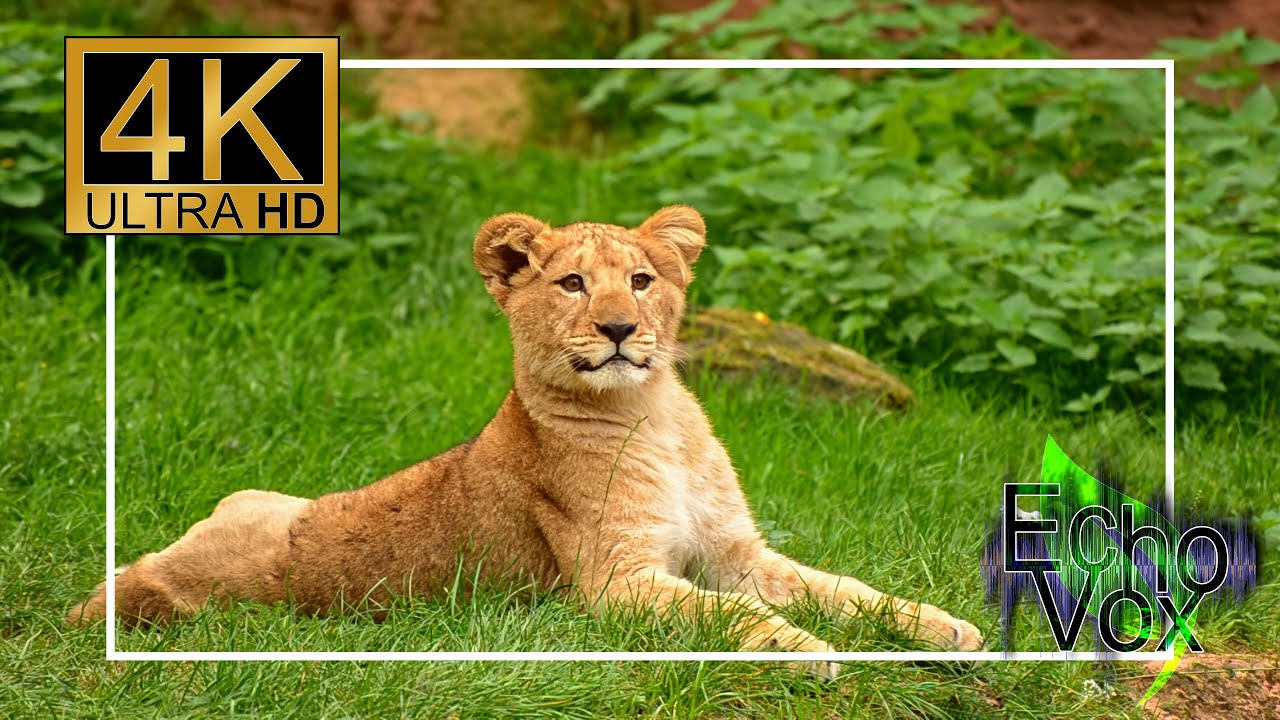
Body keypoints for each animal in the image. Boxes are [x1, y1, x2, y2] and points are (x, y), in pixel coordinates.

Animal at [68, 206, 983, 675]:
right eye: (573, 283)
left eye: (641, 281)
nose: (618, 328)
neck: (652, 415)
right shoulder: (616, 585)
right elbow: (731, 616)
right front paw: (807, 651)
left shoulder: (738, 552)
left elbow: (847, 589)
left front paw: (945, 629)